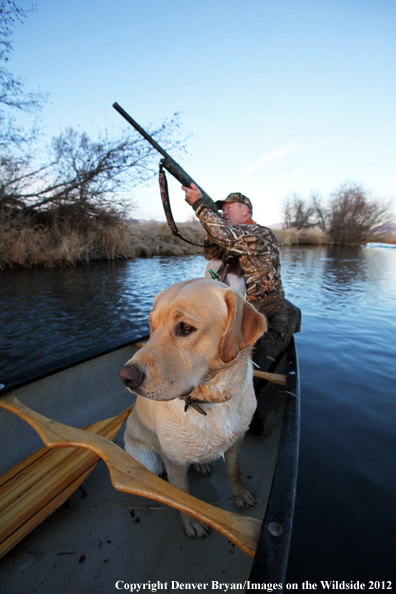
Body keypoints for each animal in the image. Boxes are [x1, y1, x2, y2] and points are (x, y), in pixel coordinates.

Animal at [118, 278, 266, 536]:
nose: (126, 377)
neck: (211, 399)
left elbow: (233, 470)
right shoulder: (174, 461)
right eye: (151, 325)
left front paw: (239, 493)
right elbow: (183, 496)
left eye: (186, 328)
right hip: (148, 459)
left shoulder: (236, 440)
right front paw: (193, 524)